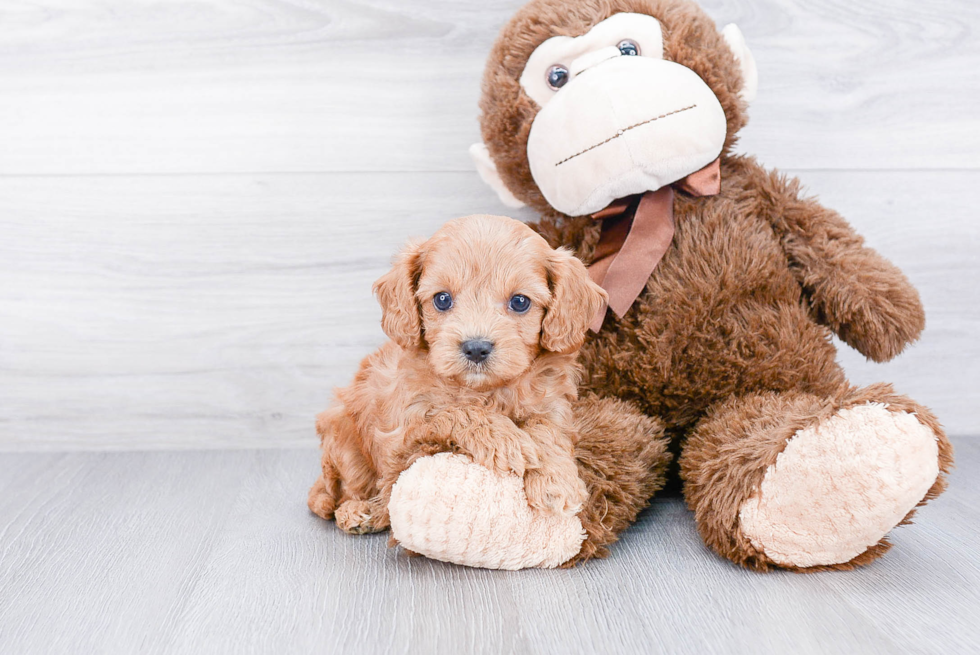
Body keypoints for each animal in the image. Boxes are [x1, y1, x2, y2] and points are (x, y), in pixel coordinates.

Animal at [310, 217, 608, 540]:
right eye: (442, 299)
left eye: (520, 302)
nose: (476, 348)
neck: (485, 390)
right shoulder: (406, 429)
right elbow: (455, 412)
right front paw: (505, 440)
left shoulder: (553, 405)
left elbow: (546, 429)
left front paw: (556, 480)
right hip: (342, 434)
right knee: (356, 488)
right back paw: (360, 511)